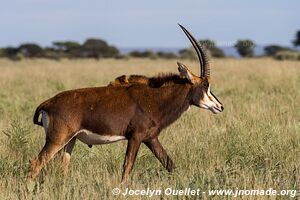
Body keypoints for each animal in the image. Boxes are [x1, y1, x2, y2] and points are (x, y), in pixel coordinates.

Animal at [29, 24, 224, 183]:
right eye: (206, 84)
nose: (220, 106)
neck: (155, 98)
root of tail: (47, 103)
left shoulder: (151, 138)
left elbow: (169, 163)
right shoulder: (136, 137)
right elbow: (127, 167)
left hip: (70, 141)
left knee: (63, 167)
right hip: (57, 140)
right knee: (36, 164)